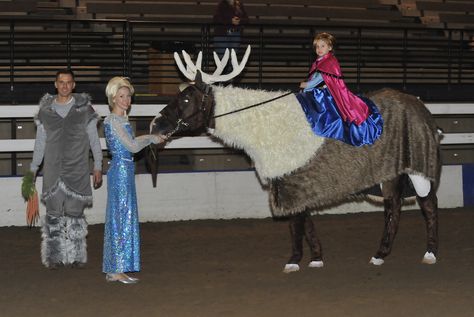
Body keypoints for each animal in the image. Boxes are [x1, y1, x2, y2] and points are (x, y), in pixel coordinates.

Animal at [148, 47, 440, 272]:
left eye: (187, 98)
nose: (155, 124)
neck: (261, 122)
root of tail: (421, 106)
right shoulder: (296, 182)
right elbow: (305, 221)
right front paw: (317, 258)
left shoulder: (289, 179)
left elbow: (295, 225)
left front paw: (293, 260)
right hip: (392, 173)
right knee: (398, 207)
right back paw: (386, 253)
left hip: (414, 166)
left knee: (424, 204)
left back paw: (423, 253)